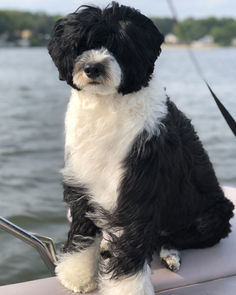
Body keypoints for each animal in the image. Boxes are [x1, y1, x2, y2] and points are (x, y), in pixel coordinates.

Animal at [48, 2, 234, 295]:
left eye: (119, 47)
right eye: (82, 45)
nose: (93, 68)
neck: (107, 104)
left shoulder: (138, 184)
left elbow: (132, 242)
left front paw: (127, 287)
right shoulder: (83, 177)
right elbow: (82, 228)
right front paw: (77, 275)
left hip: (211, 216)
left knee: (171, 237)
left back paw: (169, 253)